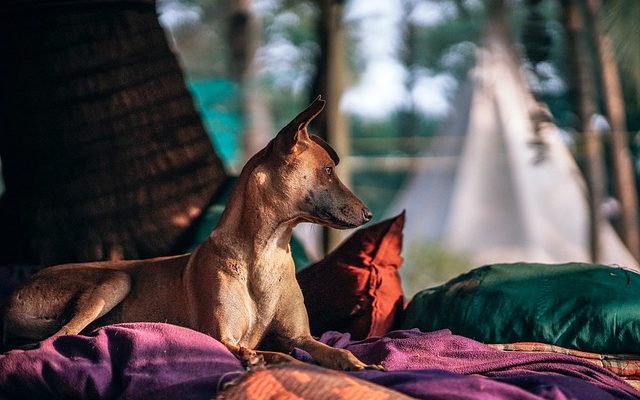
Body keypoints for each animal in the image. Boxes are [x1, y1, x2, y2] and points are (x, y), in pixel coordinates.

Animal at [1, 97, 380, 372]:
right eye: (328, 171)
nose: (369, 214)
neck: (266, 252)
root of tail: (11, 299)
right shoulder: (221, 337)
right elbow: (275, 355)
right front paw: (261, 359)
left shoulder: (301, 336)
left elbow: (334, 352)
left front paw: (363, 364)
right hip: (115, 279)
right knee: (58, 338)